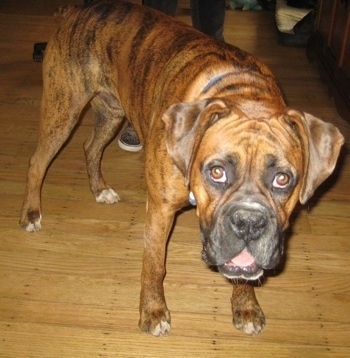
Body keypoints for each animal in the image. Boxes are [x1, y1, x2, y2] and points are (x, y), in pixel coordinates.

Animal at [21, 0, 344, 336]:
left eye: (283, 179)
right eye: (217, 172)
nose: (249, 222)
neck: (243, 93)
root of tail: (75, 10)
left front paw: (245, 306)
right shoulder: (160, 210)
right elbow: (154, 265)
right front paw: (153, 312)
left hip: (111, 112)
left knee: (91, 147)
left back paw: (100, 190)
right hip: (63, 111)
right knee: (37, 162)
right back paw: (31, 214)